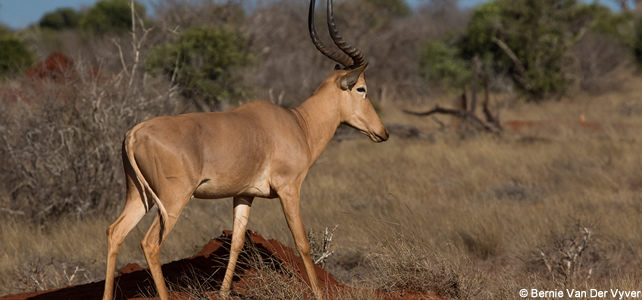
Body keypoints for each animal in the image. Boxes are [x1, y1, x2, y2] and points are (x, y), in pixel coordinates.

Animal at [102, 0, 388, 298]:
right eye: (361, 88)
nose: (383, 132)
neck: (297, 123)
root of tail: (134, 134)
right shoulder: (289, 190)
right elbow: (302, 242)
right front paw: (319, 294)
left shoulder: (244, 195)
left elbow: (237, 243)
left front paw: (223, 293)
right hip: (172, 202)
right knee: (149, 244)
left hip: (139, 197)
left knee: (115, 232)